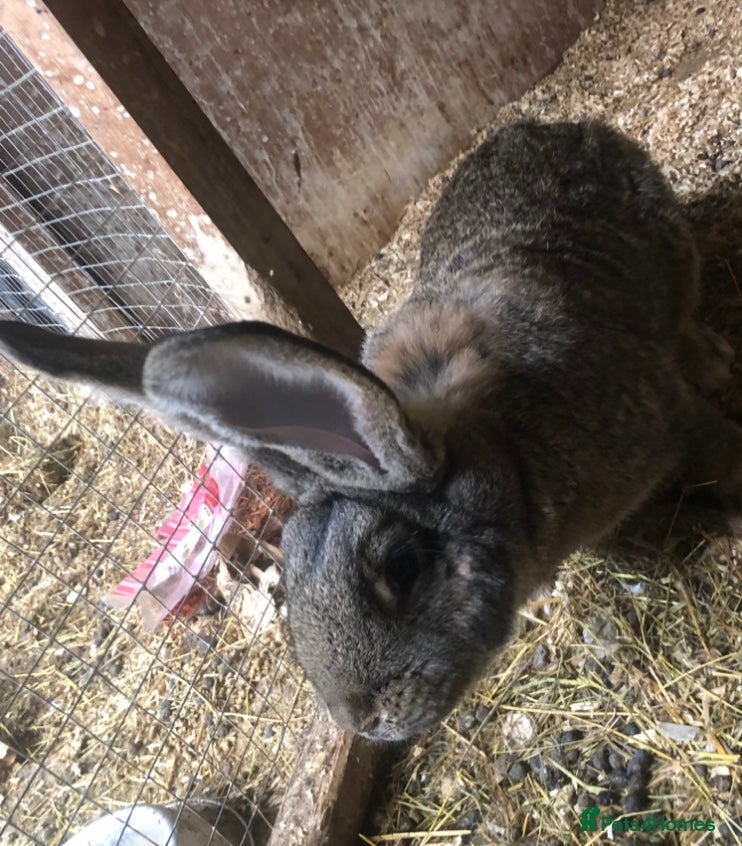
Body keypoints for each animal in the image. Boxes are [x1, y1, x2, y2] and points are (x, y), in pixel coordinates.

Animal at [1, 119, 740, 742]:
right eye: (291, 574)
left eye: (402, 568)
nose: (364, 724)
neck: (507, 460)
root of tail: (557, 126)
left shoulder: (664, 417)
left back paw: (712, 355)